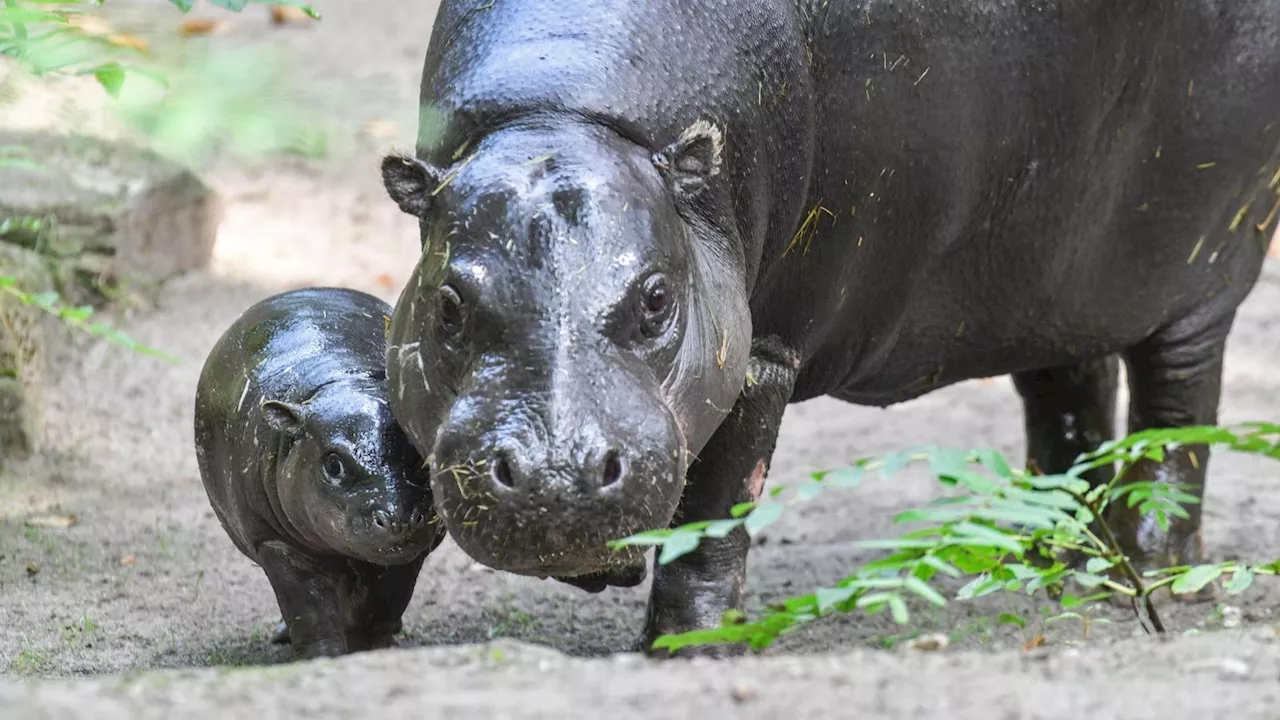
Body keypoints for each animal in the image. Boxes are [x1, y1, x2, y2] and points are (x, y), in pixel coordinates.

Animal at [192, 284, 445, 655]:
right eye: (334, 463)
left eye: (418, 456)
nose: (398, 518)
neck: (343, 379)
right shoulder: (276, 544)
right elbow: (310, 611)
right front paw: (323, 656)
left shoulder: (402, 554)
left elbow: (382, 601)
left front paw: (368, 646)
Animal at [378, 0, 1280, 653]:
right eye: (449, 303)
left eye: (657, 297)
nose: (553, 475)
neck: (562, 119)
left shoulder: (763, 353)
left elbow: (715, 519)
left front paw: (689, 649)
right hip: (1049, 280)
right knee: (1068, 399)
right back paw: (1049, 566)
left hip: (1206, 263)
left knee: (1177, 408)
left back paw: (1155, 571)